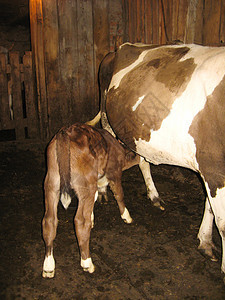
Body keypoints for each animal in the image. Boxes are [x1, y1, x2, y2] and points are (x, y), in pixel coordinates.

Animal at [41, 123, 138, 278]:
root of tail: (65, 132)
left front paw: (92, 218)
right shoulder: (114, 172)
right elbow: (119, 195)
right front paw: (126, 216)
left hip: (51, 184)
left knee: (49, 220)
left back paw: (49, 266)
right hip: (85, 185)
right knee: (80, 221)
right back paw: (87, 263)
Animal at [89, 42, 225, 278]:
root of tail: (121, 47)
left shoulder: (211, 169)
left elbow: (210, 206)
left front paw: (205, 242)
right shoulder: (214, 168)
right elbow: (223, 223)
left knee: (143, 161)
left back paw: (154, 195)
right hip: (107, 118)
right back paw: (104, 190)